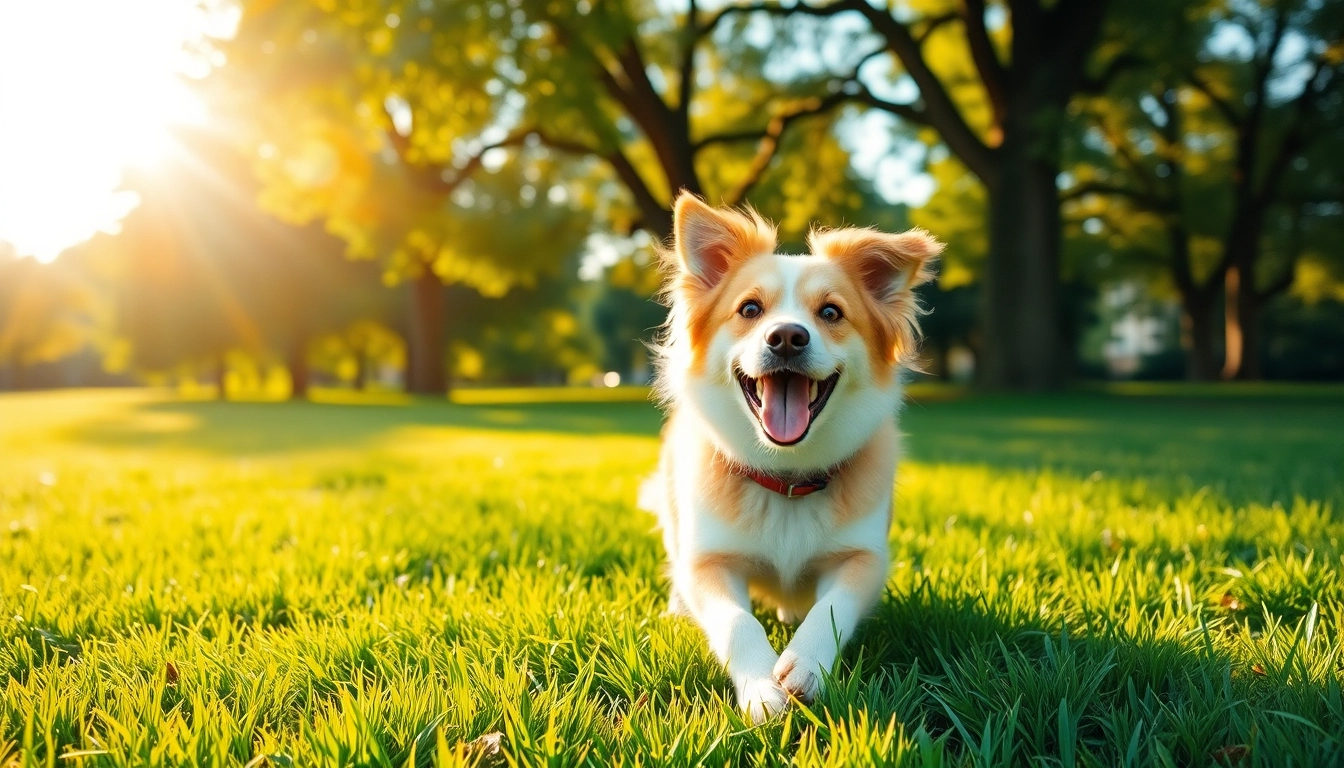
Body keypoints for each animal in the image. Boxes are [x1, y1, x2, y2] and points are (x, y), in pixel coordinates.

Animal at [642, 192, 946, 720]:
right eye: (749, 309)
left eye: (831, 313)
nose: (786, 335)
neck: (786, 476)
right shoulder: (709, 561)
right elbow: (735, 620)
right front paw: (762, 686)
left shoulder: (865, 557)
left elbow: (833, 608)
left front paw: (805, 664)